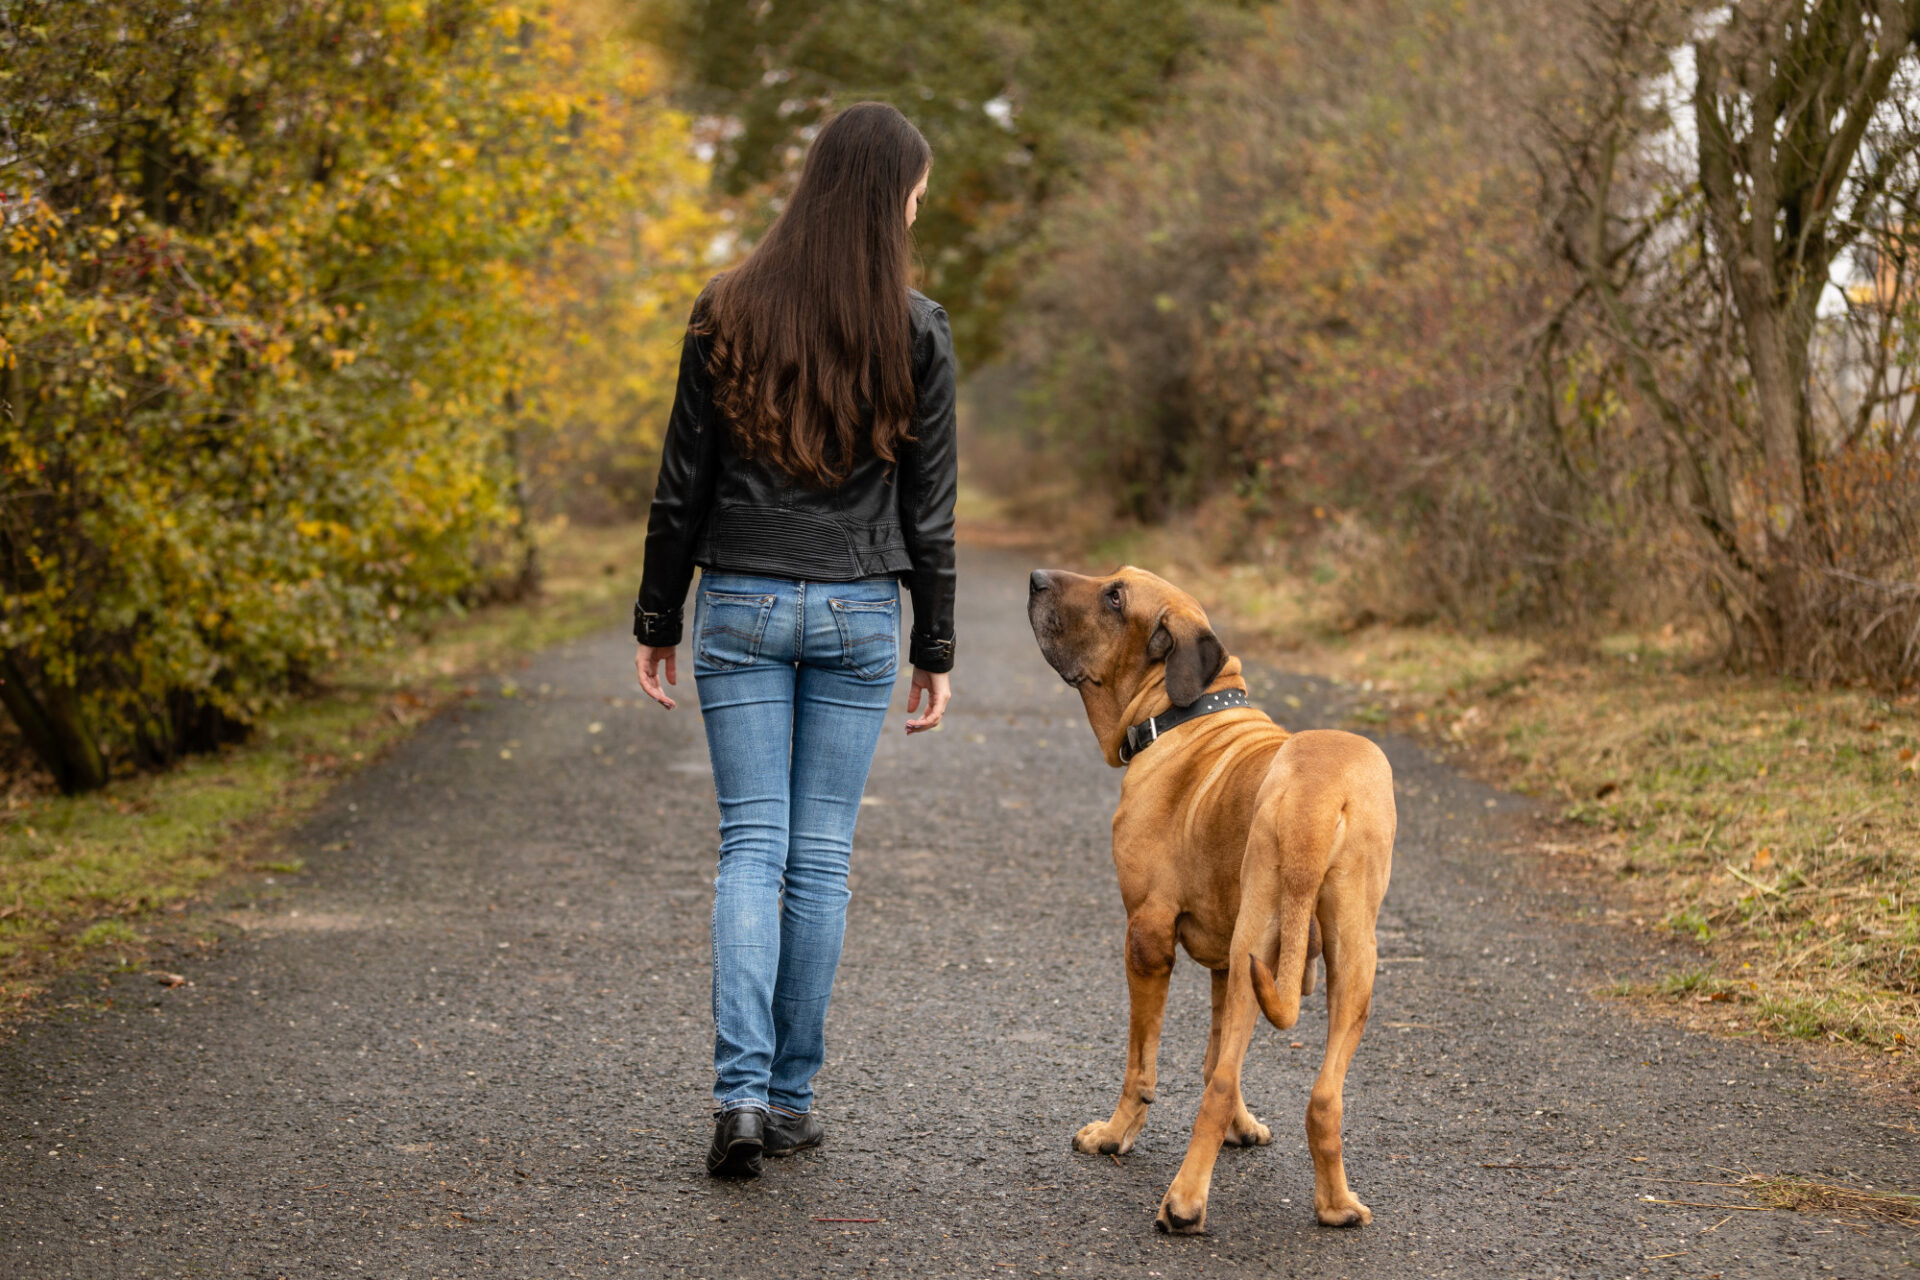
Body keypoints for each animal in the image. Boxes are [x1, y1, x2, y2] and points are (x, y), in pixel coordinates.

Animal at [1036, 564, 1397, 1235]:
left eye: (1115, 597)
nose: (1036, 577)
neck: (1186, 714)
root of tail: (1315, 796)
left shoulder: (1147, 938)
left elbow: (1143, 1064)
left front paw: (1115, 1134)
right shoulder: (1228, 965)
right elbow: (1210, 1054)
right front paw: (1244, 1130)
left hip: (1260, 931)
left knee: (1224, 1082)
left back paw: (1183, 1203)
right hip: (1346, 958)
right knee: (1320, 1096)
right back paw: (1336, 1205)